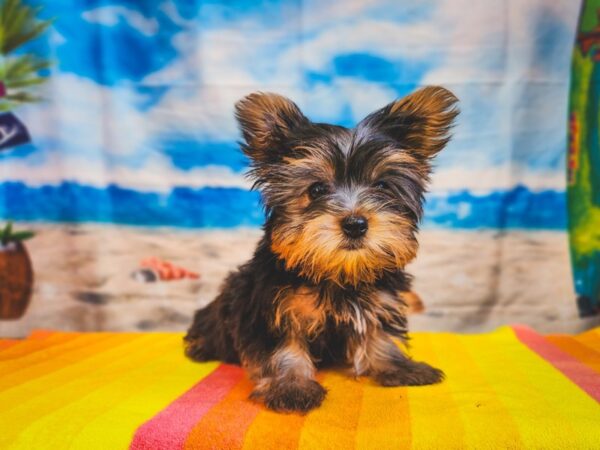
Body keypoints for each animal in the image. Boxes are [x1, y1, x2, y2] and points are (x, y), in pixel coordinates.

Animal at [185, 86, 458, 414]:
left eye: (382, 186)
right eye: (316, 189)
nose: (355, 224)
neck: (336, 271)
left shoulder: (380, 298)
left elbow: (380, 333)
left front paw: (399, 367)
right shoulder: (272, 307)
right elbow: (284, 348)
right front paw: (292, 386)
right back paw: (201, 345)